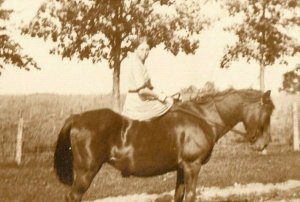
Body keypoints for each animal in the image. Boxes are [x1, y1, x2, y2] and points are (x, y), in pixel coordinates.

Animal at [53, 89, 274, 202]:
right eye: (268, 111)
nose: (264, 143)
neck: (203, 117)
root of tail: (77, 117)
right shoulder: (192, 166)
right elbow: (191, 196)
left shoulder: (181, 168)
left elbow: (179, 196)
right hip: (86, 172)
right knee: (73, 197)